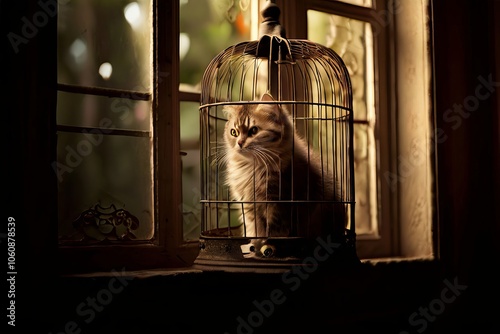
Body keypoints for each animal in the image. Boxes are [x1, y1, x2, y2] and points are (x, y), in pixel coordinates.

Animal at [221, 93, 346, 258]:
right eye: (234, 132)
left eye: (253, 131)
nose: (240, 143)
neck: (253, 168)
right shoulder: (249, 206)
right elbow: (255, 229)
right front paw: (255, 246)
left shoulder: (278, 203)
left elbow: (273, 232)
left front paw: (267, 248)